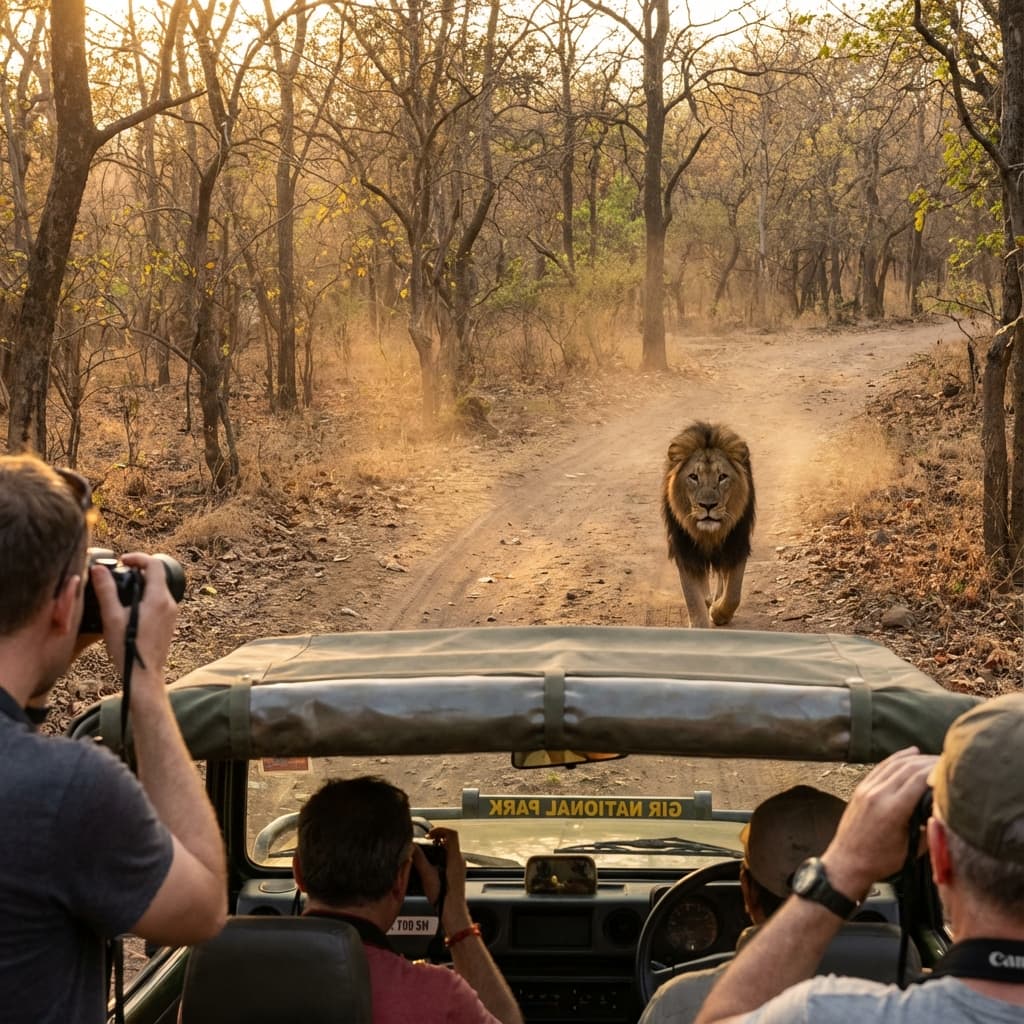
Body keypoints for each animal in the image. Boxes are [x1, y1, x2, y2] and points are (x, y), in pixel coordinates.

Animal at [662, 421, 756, 628]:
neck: (708, 534)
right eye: (693, 477)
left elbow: (733, 594)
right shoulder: (686, 551)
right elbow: (692, 599)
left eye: (722, 477)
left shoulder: (736, 545)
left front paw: (719, 613)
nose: (707, 505)